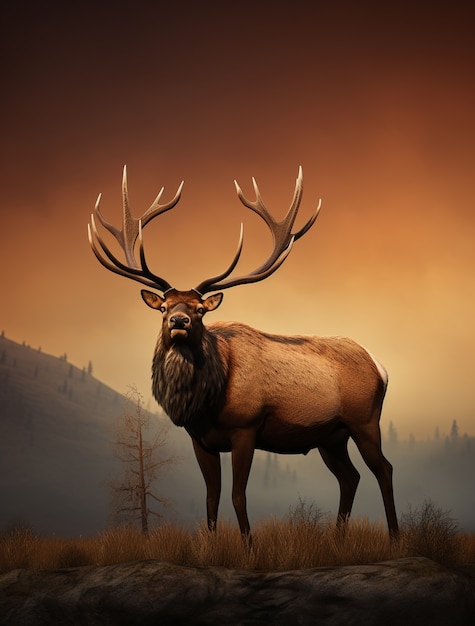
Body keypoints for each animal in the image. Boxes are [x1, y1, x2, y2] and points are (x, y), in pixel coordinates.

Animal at [87, 166, 400, 536]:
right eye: (163, 307)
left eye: (200, 309)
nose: (179, 320)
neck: (205, 399)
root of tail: (381, 367)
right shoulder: (200, 439)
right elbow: (211, 499)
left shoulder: (246, 429)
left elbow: (238, 496)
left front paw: (249, 544)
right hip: (330, 437)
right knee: (350, 477)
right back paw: (338, 538)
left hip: (364, 420)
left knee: (384, 469)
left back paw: (395, 537)